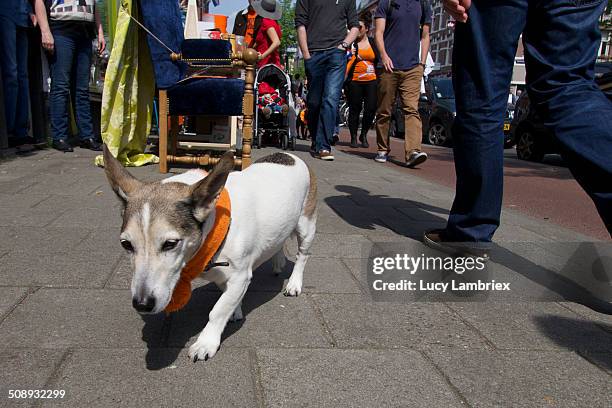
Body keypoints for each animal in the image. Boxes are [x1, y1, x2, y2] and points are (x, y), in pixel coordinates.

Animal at [101, 146, 316, 360]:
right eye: (126, 244)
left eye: (170, 244)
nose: (142, 304)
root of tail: (289, 155)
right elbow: (227, 297)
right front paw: (235, 310)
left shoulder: (241, 275)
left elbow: (218, 310)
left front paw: (206, 342)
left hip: (306, 225)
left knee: (302, 256)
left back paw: (294, 284)